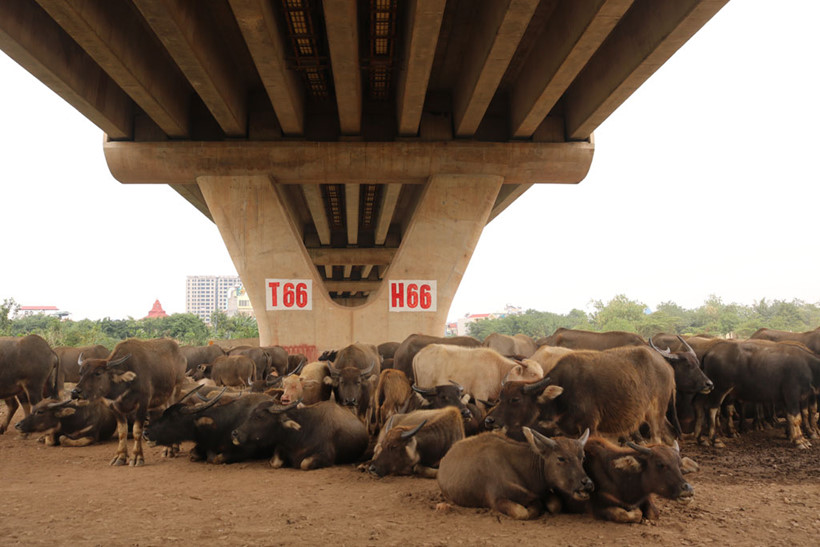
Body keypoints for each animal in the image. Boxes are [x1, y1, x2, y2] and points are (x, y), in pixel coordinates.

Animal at [71, 338, 187, 466]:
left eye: (98, 373)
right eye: (81, 373)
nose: (75, 392)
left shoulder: (142, 405)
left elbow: (137, 430)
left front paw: (137, 457)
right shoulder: (114, 407)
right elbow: (122, 432)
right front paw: (120, 457)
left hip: (176, 389)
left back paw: (169, 449)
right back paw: (172, 448)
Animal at [438, 428, 592, 524]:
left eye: (583, 457)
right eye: (561, 458)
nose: (587, 483)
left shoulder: (542, 491)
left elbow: (555, 505)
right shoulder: (497, 500)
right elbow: (522, 512)